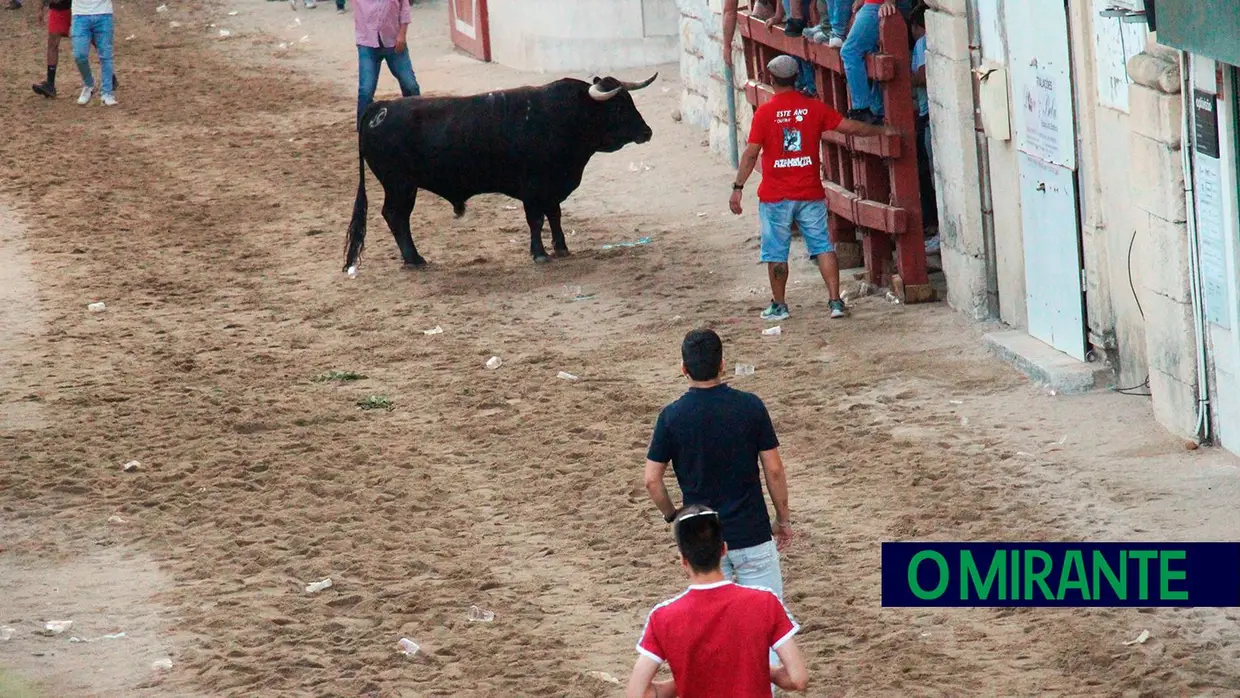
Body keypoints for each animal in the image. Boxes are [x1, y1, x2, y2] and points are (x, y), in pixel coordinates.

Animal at [339, 74, 659, 272]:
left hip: (402, 186)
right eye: (618, 107)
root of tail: (380, 108)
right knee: (396, 216)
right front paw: (539, 253)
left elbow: (554, 215)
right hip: (400, 185)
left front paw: (561, 247)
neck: (564, 116)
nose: (647, 132)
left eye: (631, 101)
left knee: (396, 217)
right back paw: (414, 259)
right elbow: (536, 219)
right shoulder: (533, 187)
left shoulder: (552, 187)